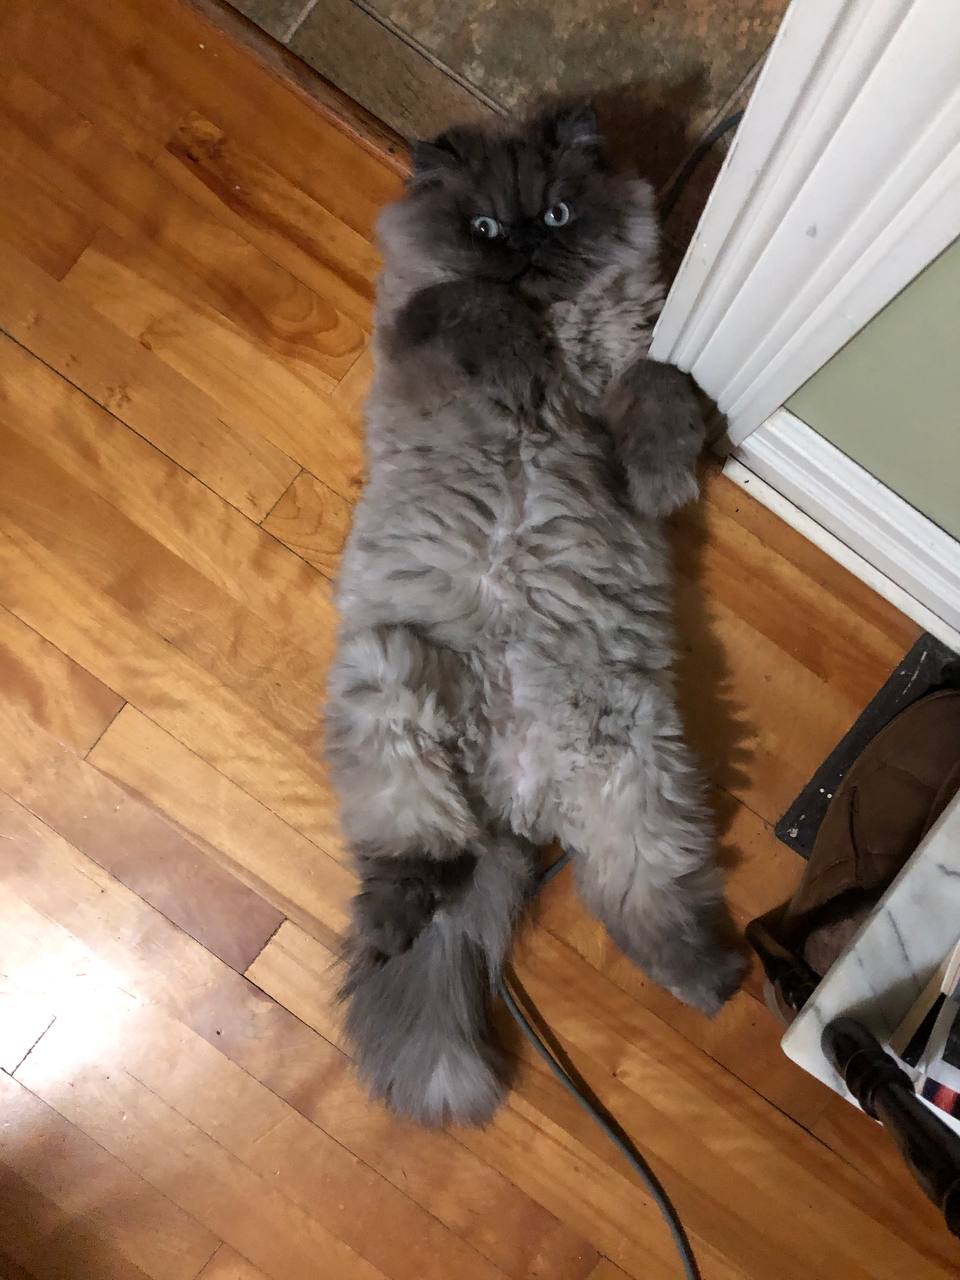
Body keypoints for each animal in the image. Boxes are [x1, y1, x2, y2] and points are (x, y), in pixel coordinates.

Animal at [325, 106, 747, 1127]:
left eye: (556, 213)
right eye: (483, 227)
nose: (520, 246)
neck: (557, 328)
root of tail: (513, 800)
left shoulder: (626, 378)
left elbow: (660, 385)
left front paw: (662, 474)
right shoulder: (427, 327)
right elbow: (466, 307)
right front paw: (515, 355)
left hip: (635, 765)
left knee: (643, 903)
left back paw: (717, 980)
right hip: (391, 682)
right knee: (414, 855)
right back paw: (391, 921)